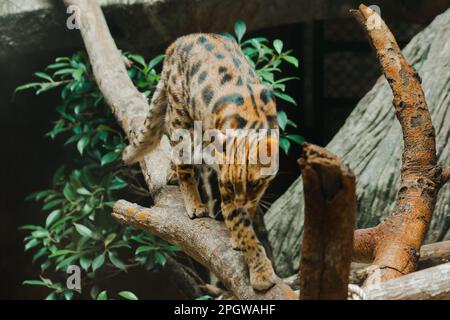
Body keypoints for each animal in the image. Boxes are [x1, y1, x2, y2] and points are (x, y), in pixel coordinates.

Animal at [122, 33, 278, 290]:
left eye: (254, 183)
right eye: (229, 184)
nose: (239, 201)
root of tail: (179, 42)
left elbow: (248, 213)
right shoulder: (226, 191)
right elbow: (242, 228)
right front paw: (261, 273)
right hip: (181, 117)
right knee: (181, 155)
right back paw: (193, 202)